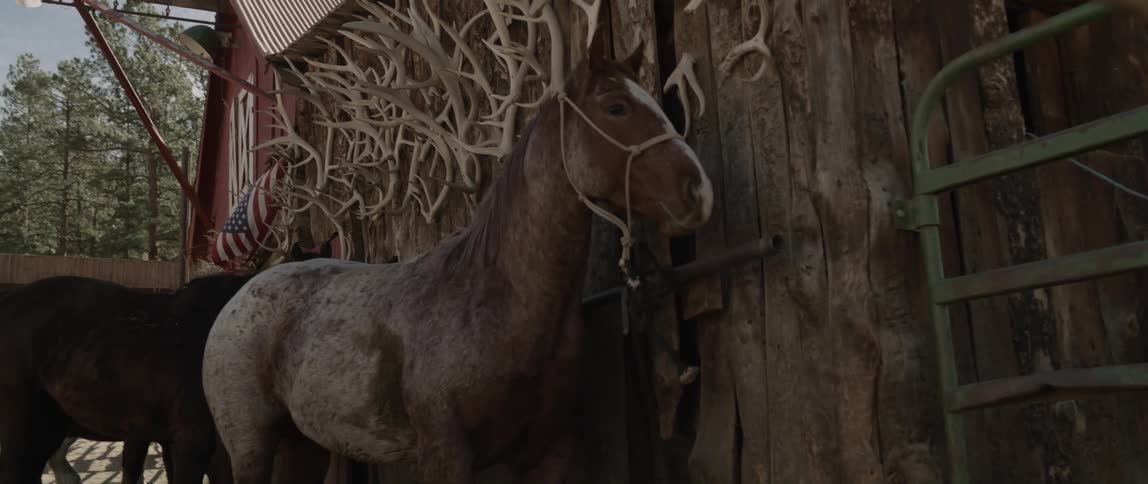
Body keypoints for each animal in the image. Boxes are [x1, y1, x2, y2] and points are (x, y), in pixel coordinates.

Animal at [202, 38, 713, 484]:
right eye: (616, 108)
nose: (698, 192)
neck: (494, 302)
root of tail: (237, 302)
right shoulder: (445, 453)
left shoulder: (548, 454)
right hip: (251, 446)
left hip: (303, 445)